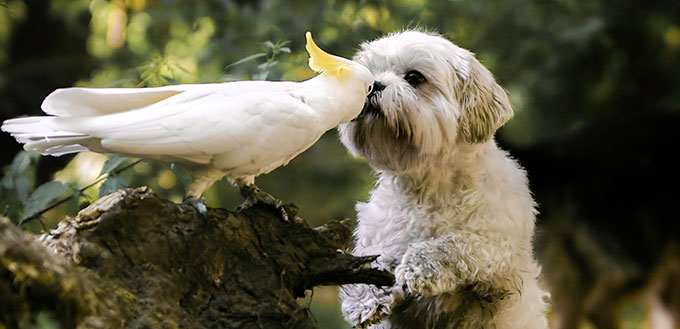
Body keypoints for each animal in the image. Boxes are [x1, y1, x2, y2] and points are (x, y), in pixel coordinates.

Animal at [338, 30, 548, 328]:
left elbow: (456, 244)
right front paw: (363, 298)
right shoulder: (378, 232)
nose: (373, 85)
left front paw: (420, 265)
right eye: (369, 73)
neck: (427, 184)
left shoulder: (499, 248)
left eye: (414, 77)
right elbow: (371, 257)